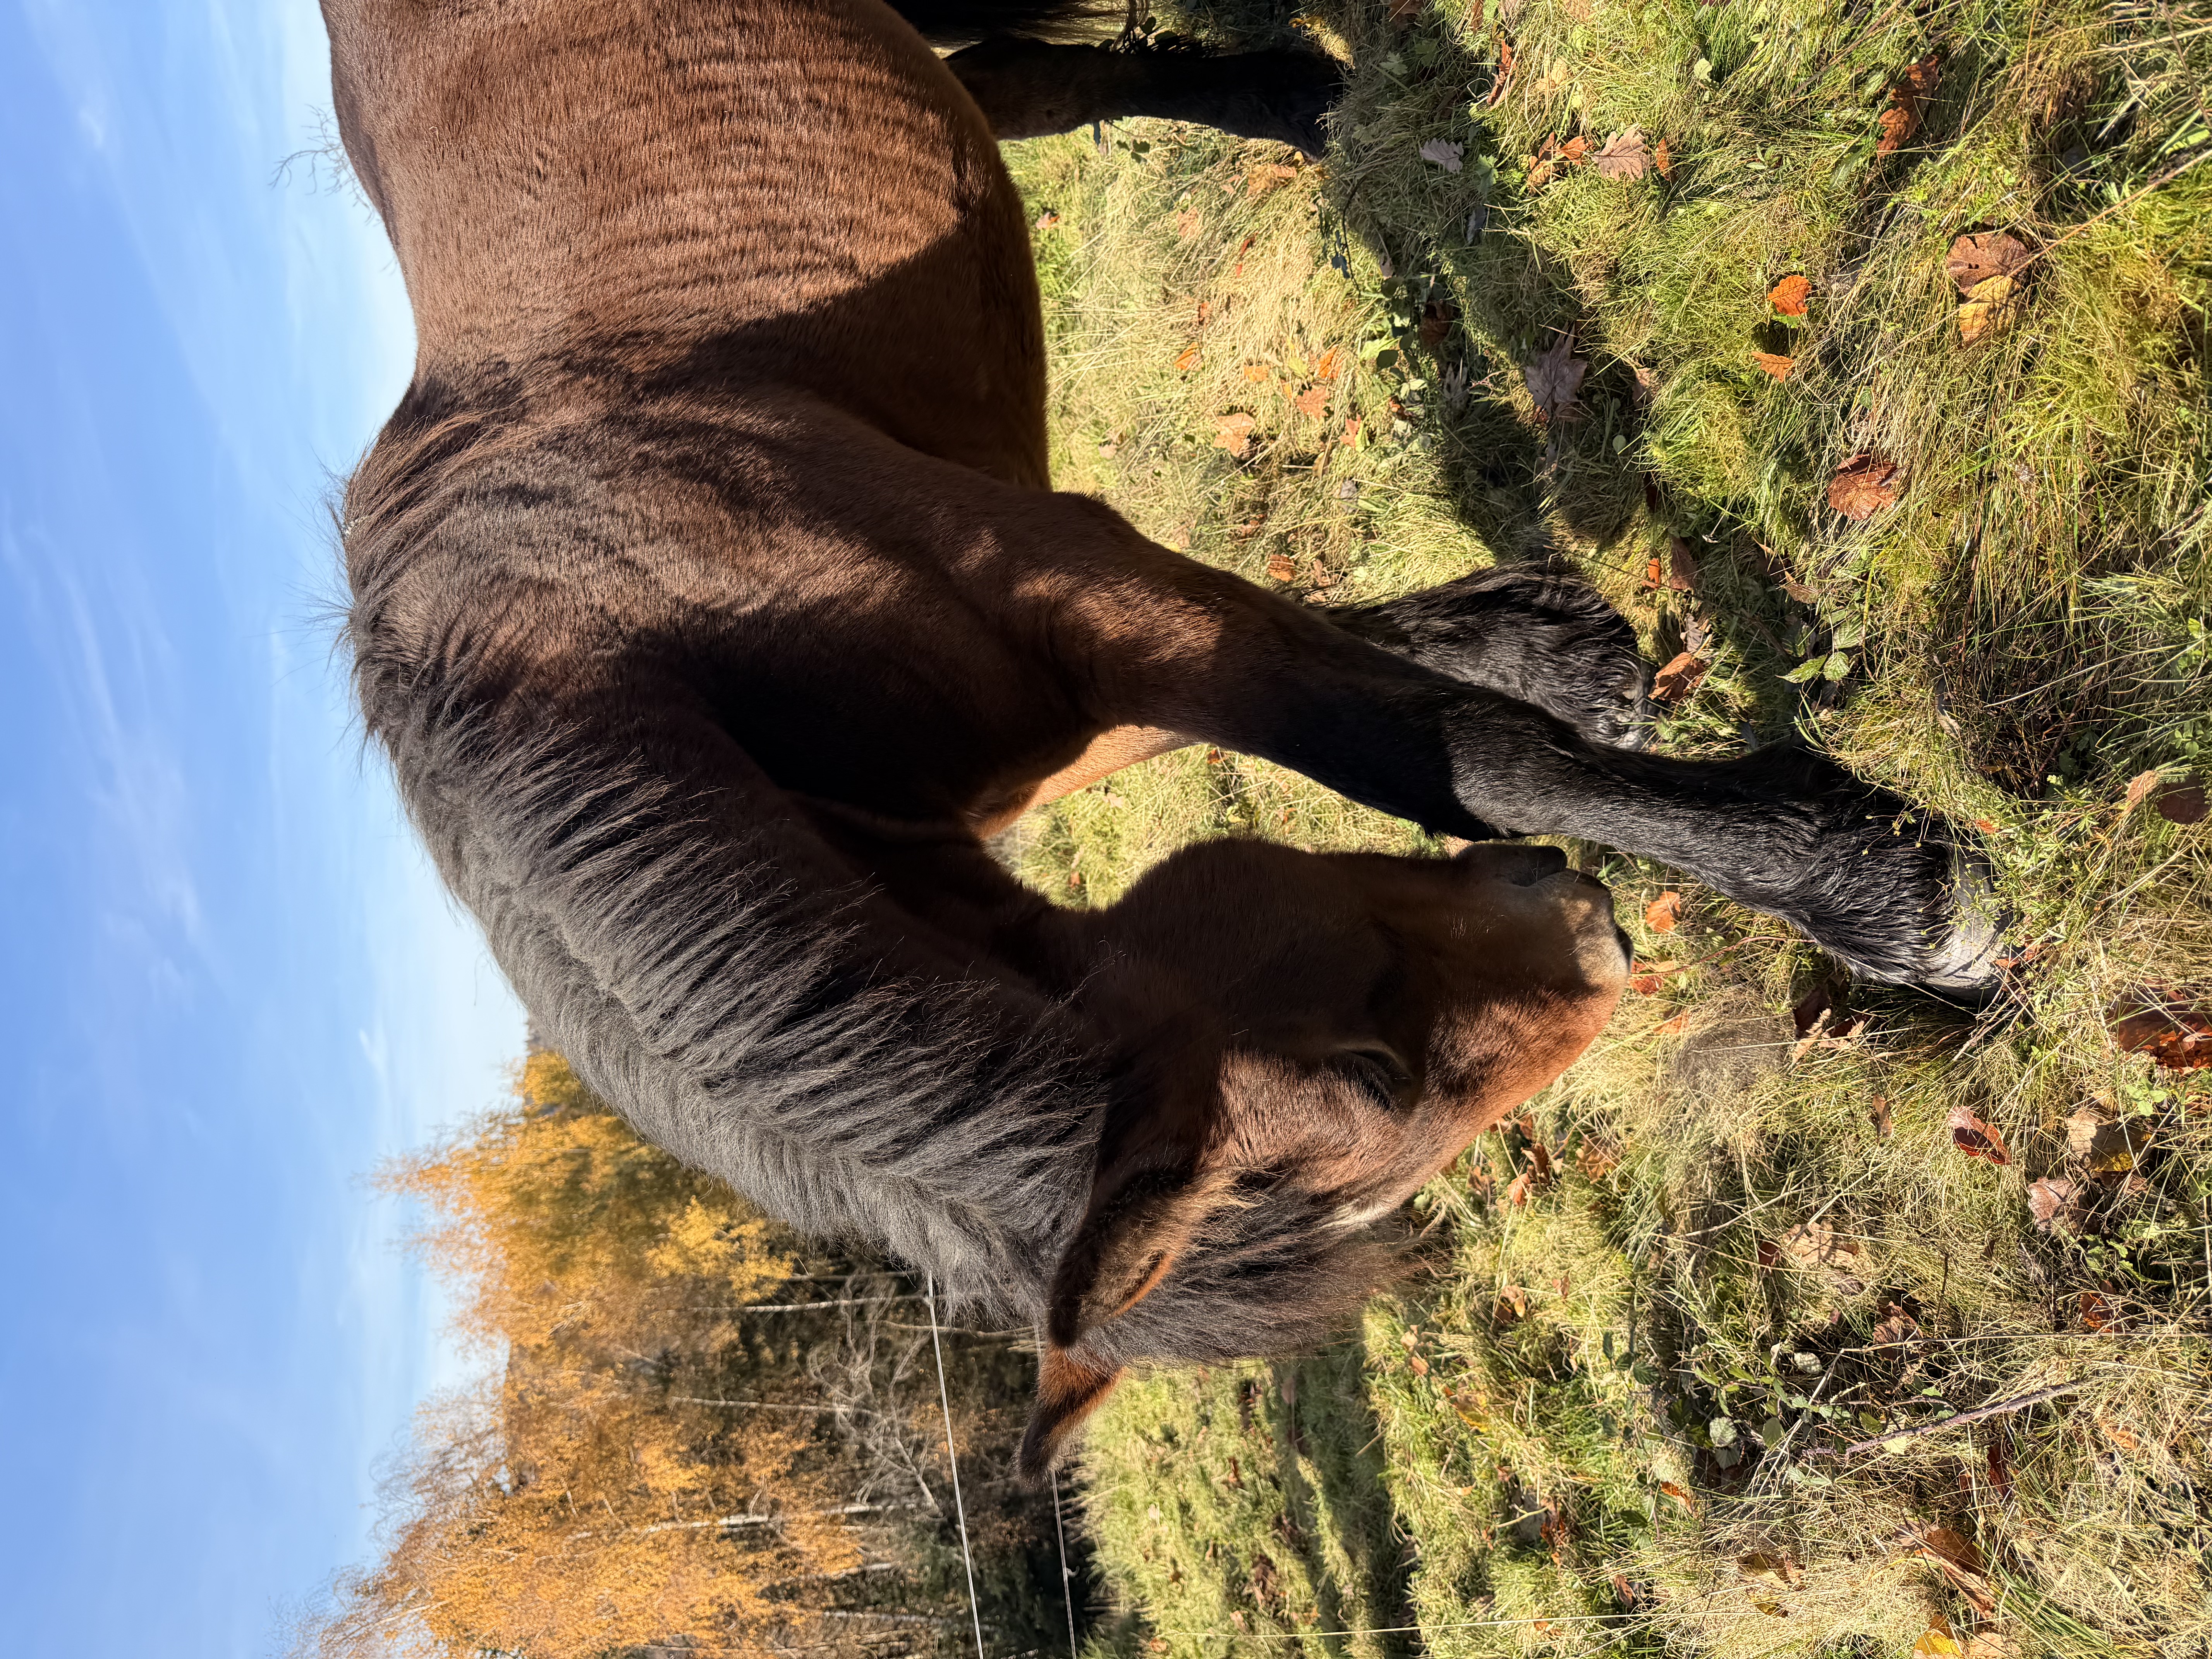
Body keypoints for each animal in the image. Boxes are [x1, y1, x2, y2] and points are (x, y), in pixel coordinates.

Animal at [324, 0, 2000, 1473]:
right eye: (1378, 1085)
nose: (1596, 940)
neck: (629, 628)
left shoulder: (1080, 591)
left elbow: (1425, 748)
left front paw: (1879, 895)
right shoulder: (1082, 686)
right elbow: (1401, 709)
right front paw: (1565, 653)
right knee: (1032, 82)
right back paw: (1302, 101)